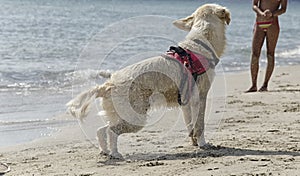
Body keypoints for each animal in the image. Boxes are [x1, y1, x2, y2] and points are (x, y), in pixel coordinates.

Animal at [67, 4, 231, 159]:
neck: (201, 40)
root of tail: (108, 85)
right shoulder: (200, 97)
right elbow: (200, 125)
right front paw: (203, 144)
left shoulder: (186, 102)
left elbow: (189, 124)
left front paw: (194, 143)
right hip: (136, 118)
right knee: (111, 131)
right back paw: (115, 153)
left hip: (121, 115)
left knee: (101, 130)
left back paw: (105, 151)